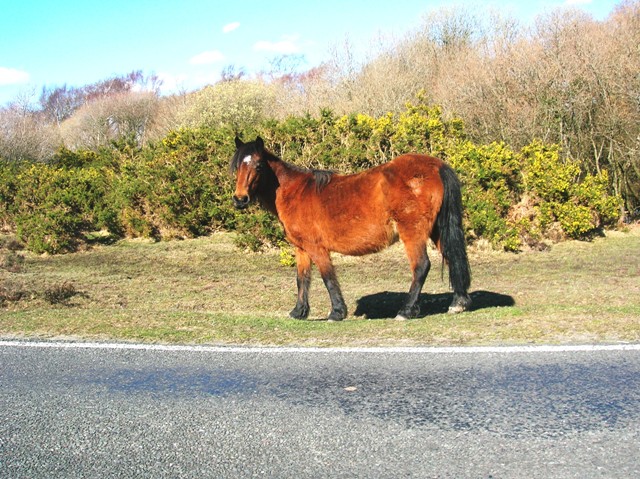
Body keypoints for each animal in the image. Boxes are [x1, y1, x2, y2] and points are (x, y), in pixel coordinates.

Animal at [230, 137, 470, 320]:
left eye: (258, 166)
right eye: (237, 167)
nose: (240, 199)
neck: (294, 192)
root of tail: (437, 166)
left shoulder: (317, 248)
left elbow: (327, 277)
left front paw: (337, 312)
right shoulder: (301, 249)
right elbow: (302, 279)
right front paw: (299, 312)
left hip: (412, 232)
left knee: (421, 266)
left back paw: (406, 310)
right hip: (437, 230)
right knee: (452, 256)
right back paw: (458, 302)